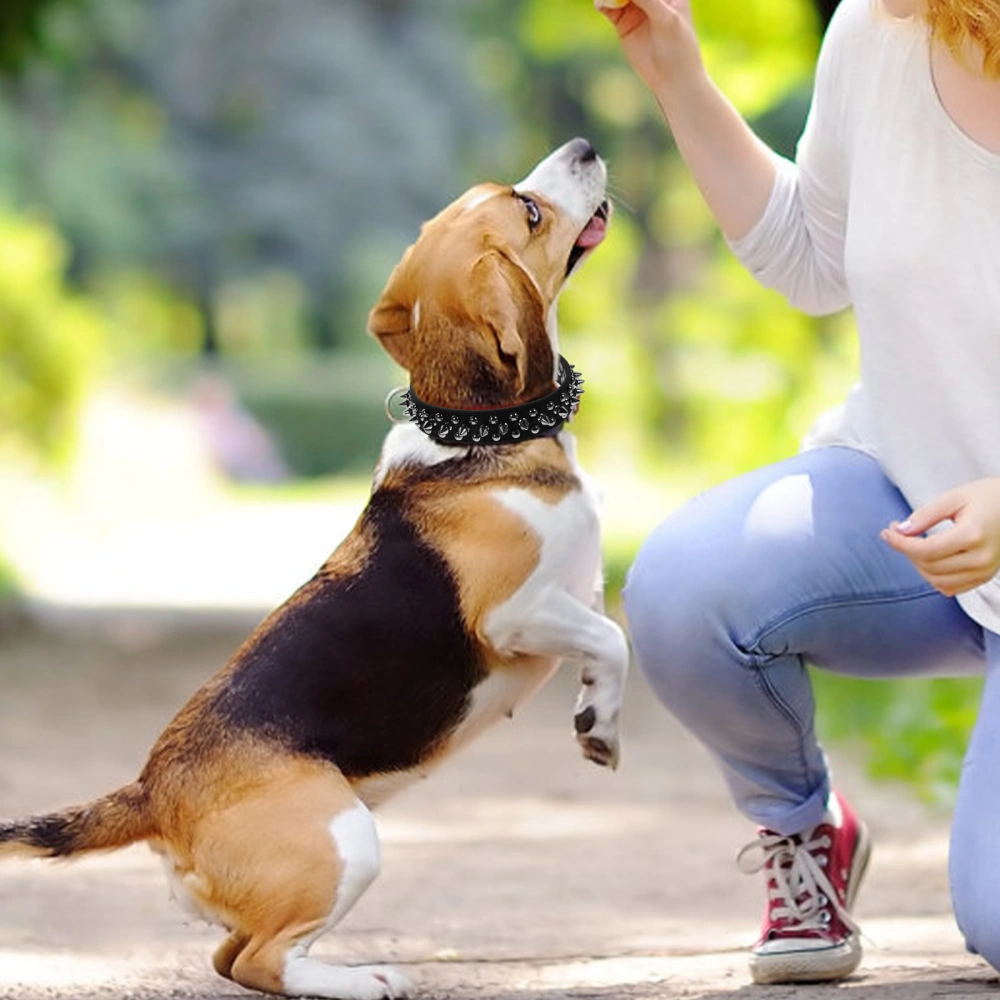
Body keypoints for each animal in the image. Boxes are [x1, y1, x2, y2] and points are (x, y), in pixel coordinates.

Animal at [0, 139, 624, 1000]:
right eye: (529, 211)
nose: (584, 148)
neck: (478, 434)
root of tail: (153, 792)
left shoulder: (578, 596)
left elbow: (608, 641)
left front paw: (598, 717)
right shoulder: (516, 615)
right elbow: (614, 639)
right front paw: (603, 724)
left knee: (232, 960)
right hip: (346, 841)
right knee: (259, 960)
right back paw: (364, 979)